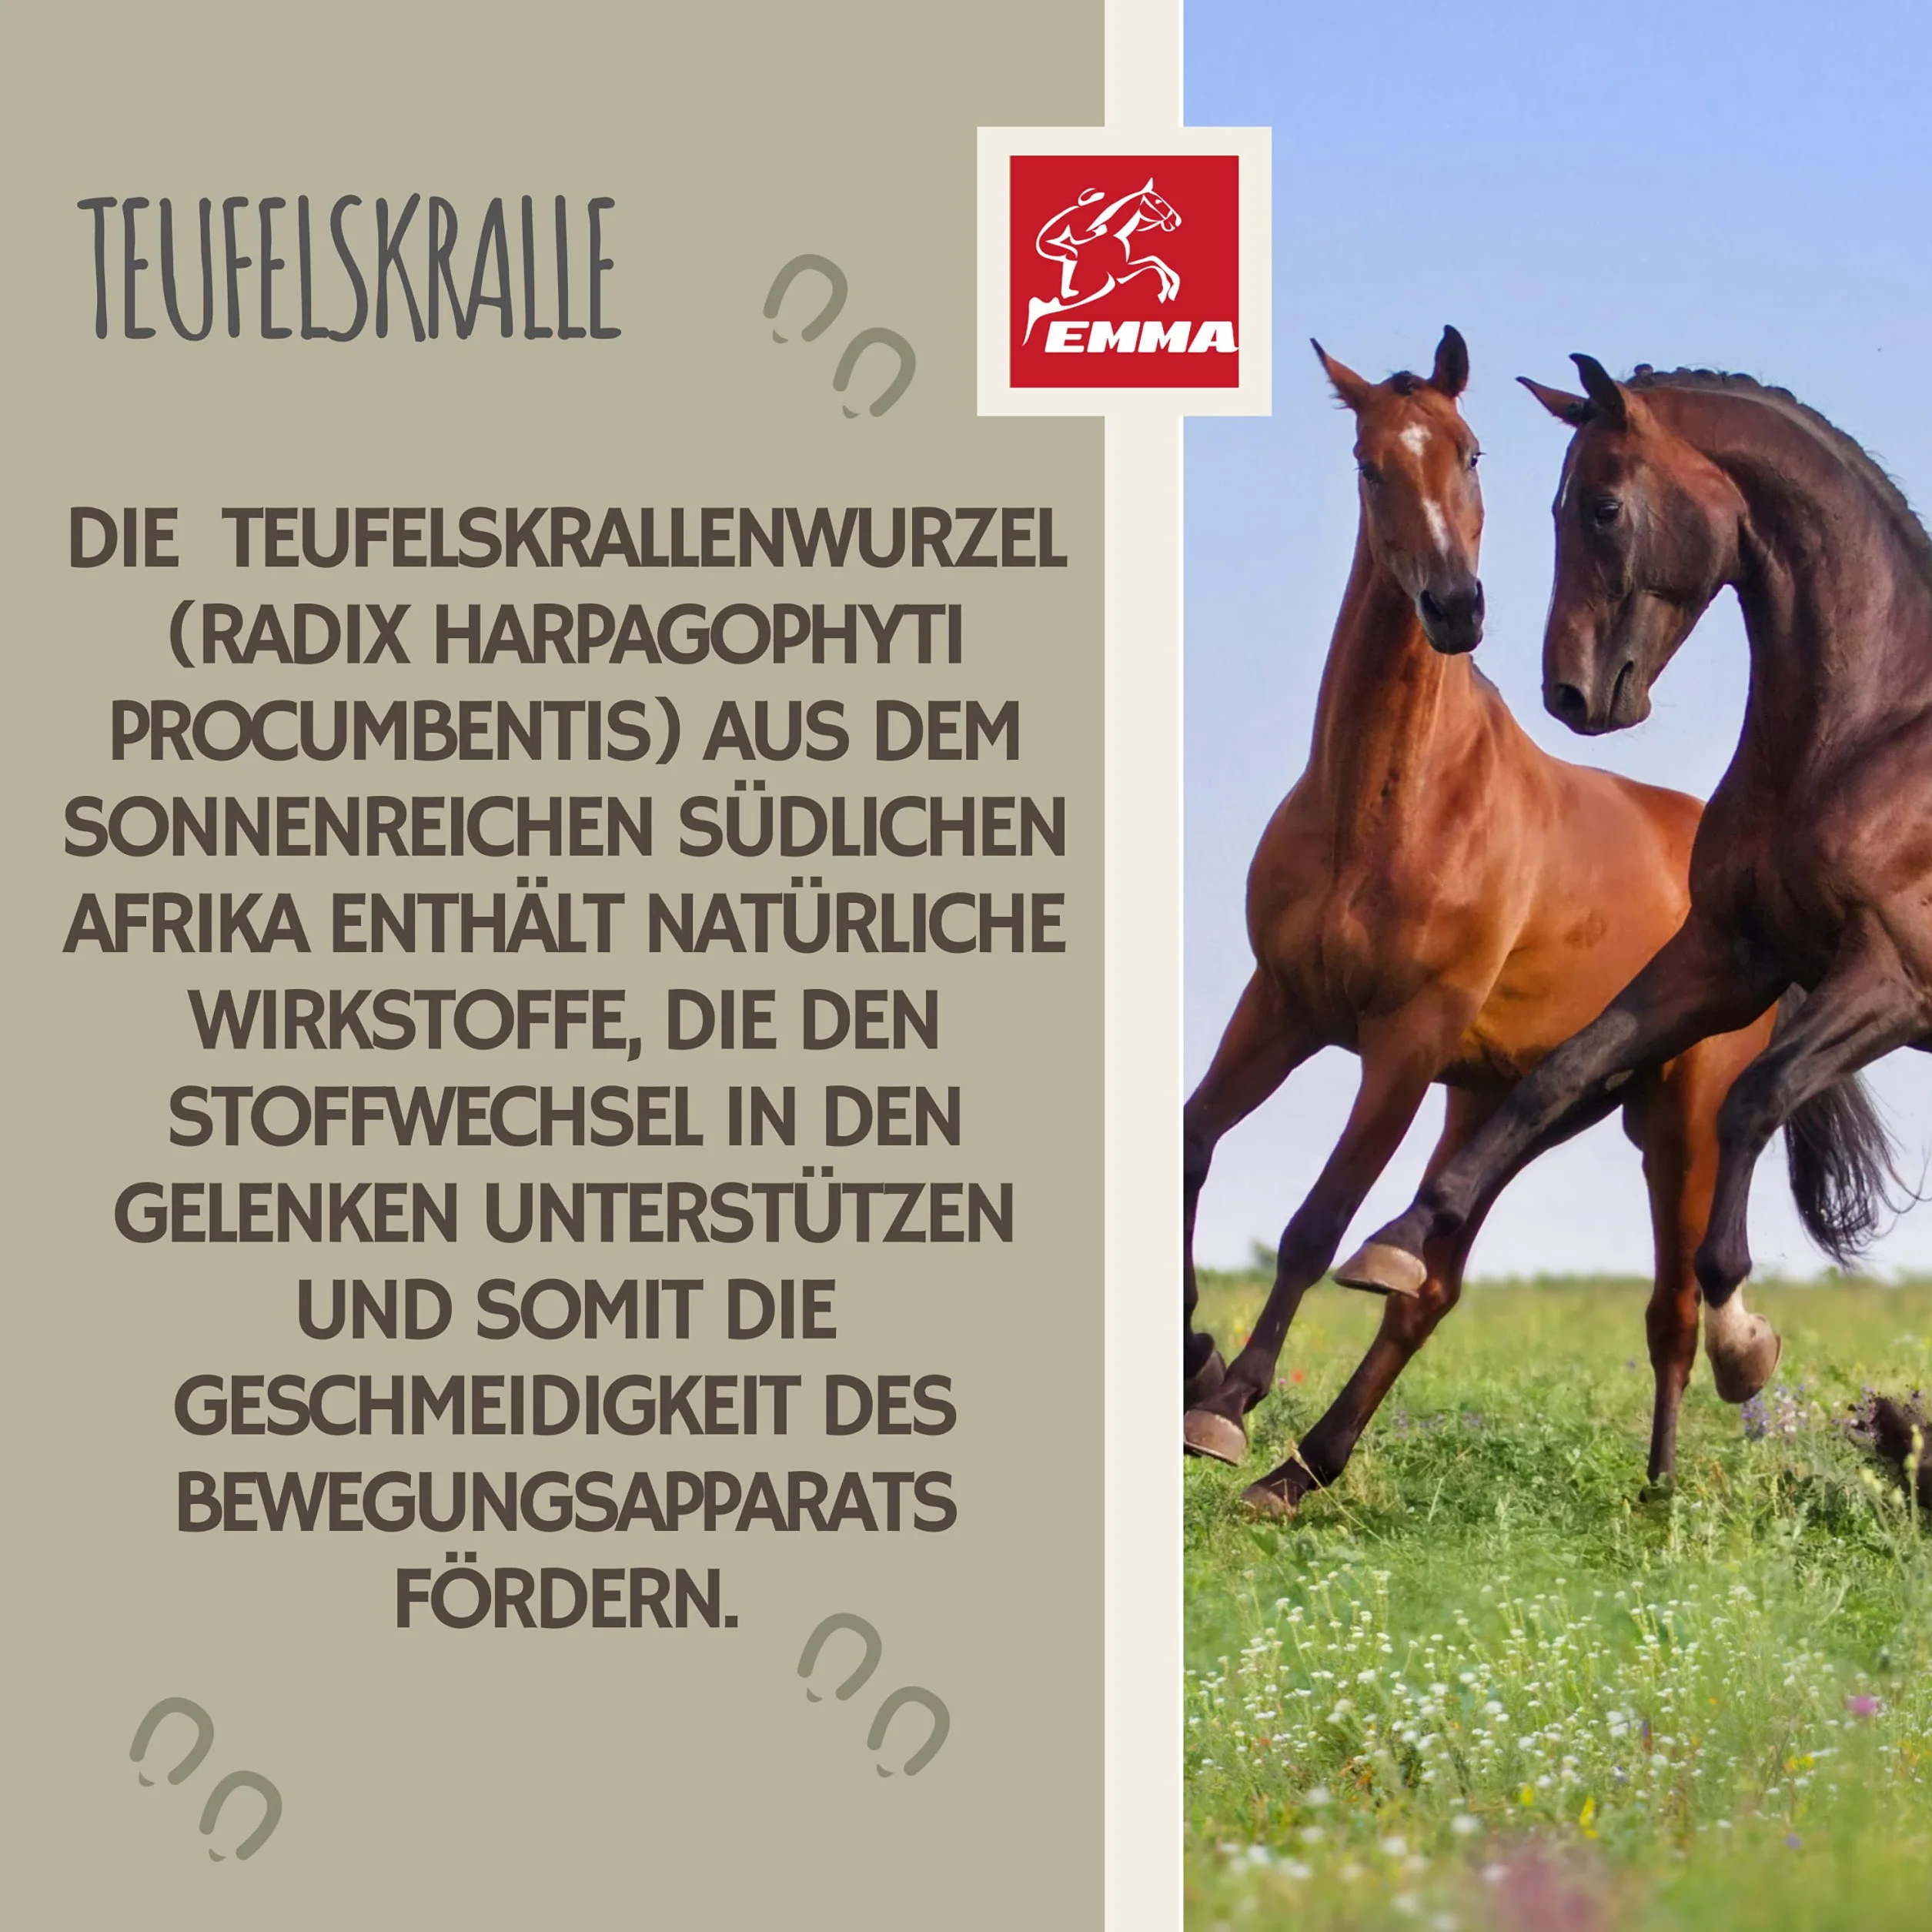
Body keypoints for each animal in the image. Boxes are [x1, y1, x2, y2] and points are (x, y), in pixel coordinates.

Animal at [1183, 327, 1794, 1519]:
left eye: (1469, 452)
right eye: (1370, 464)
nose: (1456, 608)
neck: (1388, 806)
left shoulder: (1402, 1041)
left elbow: (1313, 1222)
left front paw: (1224, 1406)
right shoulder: (1280, 1005)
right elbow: (1192, 1144)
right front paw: (1192, 1355)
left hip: (1680, 1119)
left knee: (1670, 1310)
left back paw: (1657, 1497)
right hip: (1507, 1101)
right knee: (1427, 1282)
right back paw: (1302, 1468)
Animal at [1335, 356, 1905, 1335]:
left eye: (1601, 507)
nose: (1566, 692)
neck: (1867, 734)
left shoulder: (1888, 976)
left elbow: (1756, 1094)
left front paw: (1735, 1314)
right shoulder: (1729, 955)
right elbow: (1557, 1073)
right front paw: (1398, 1236)